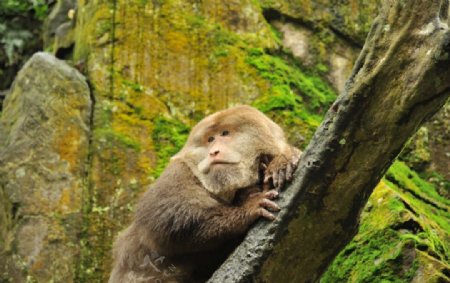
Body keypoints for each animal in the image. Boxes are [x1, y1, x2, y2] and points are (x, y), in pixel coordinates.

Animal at [107, 105, 300, 282]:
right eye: (210, 139)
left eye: (225, 133)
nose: (213, 152)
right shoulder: (179, 172)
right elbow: (165, 221)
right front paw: (249, 207)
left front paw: (281, 162)